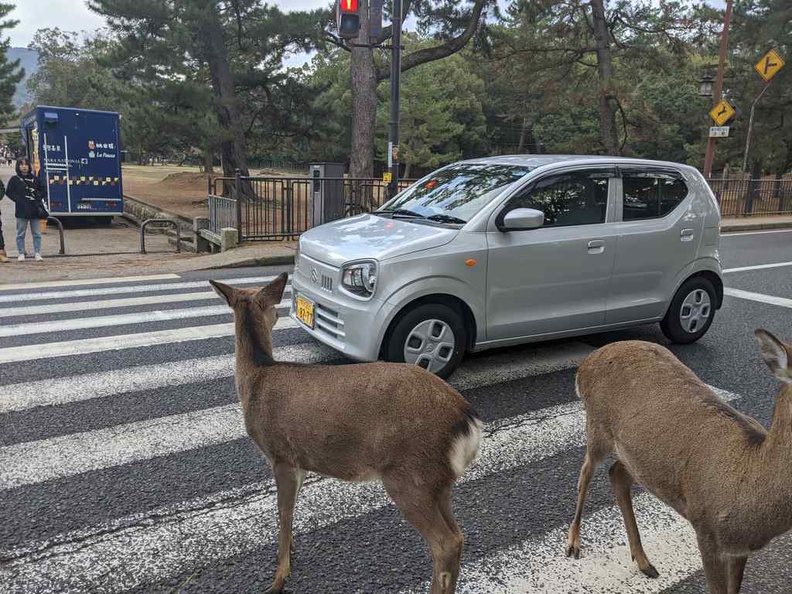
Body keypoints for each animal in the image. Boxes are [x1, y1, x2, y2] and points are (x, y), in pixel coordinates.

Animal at [210, 274, 482, 592]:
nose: (278, 315)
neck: (256, 378)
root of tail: (467, 419)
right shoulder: (300, 461)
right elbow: (292, 510)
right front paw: (291, 554)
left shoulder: (280, 454)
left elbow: (283, 512)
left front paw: (279, 578)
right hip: (438, 480)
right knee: (458, 534)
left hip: (409, 474)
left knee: (445, 542)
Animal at [564, 330, 792, 588]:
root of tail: (585, 365)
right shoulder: (706, 531)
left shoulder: (740, 550)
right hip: (597, 426)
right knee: (585, 472)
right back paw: (573, 543)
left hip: (633, 453)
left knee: (617, 473)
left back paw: (644, 562)